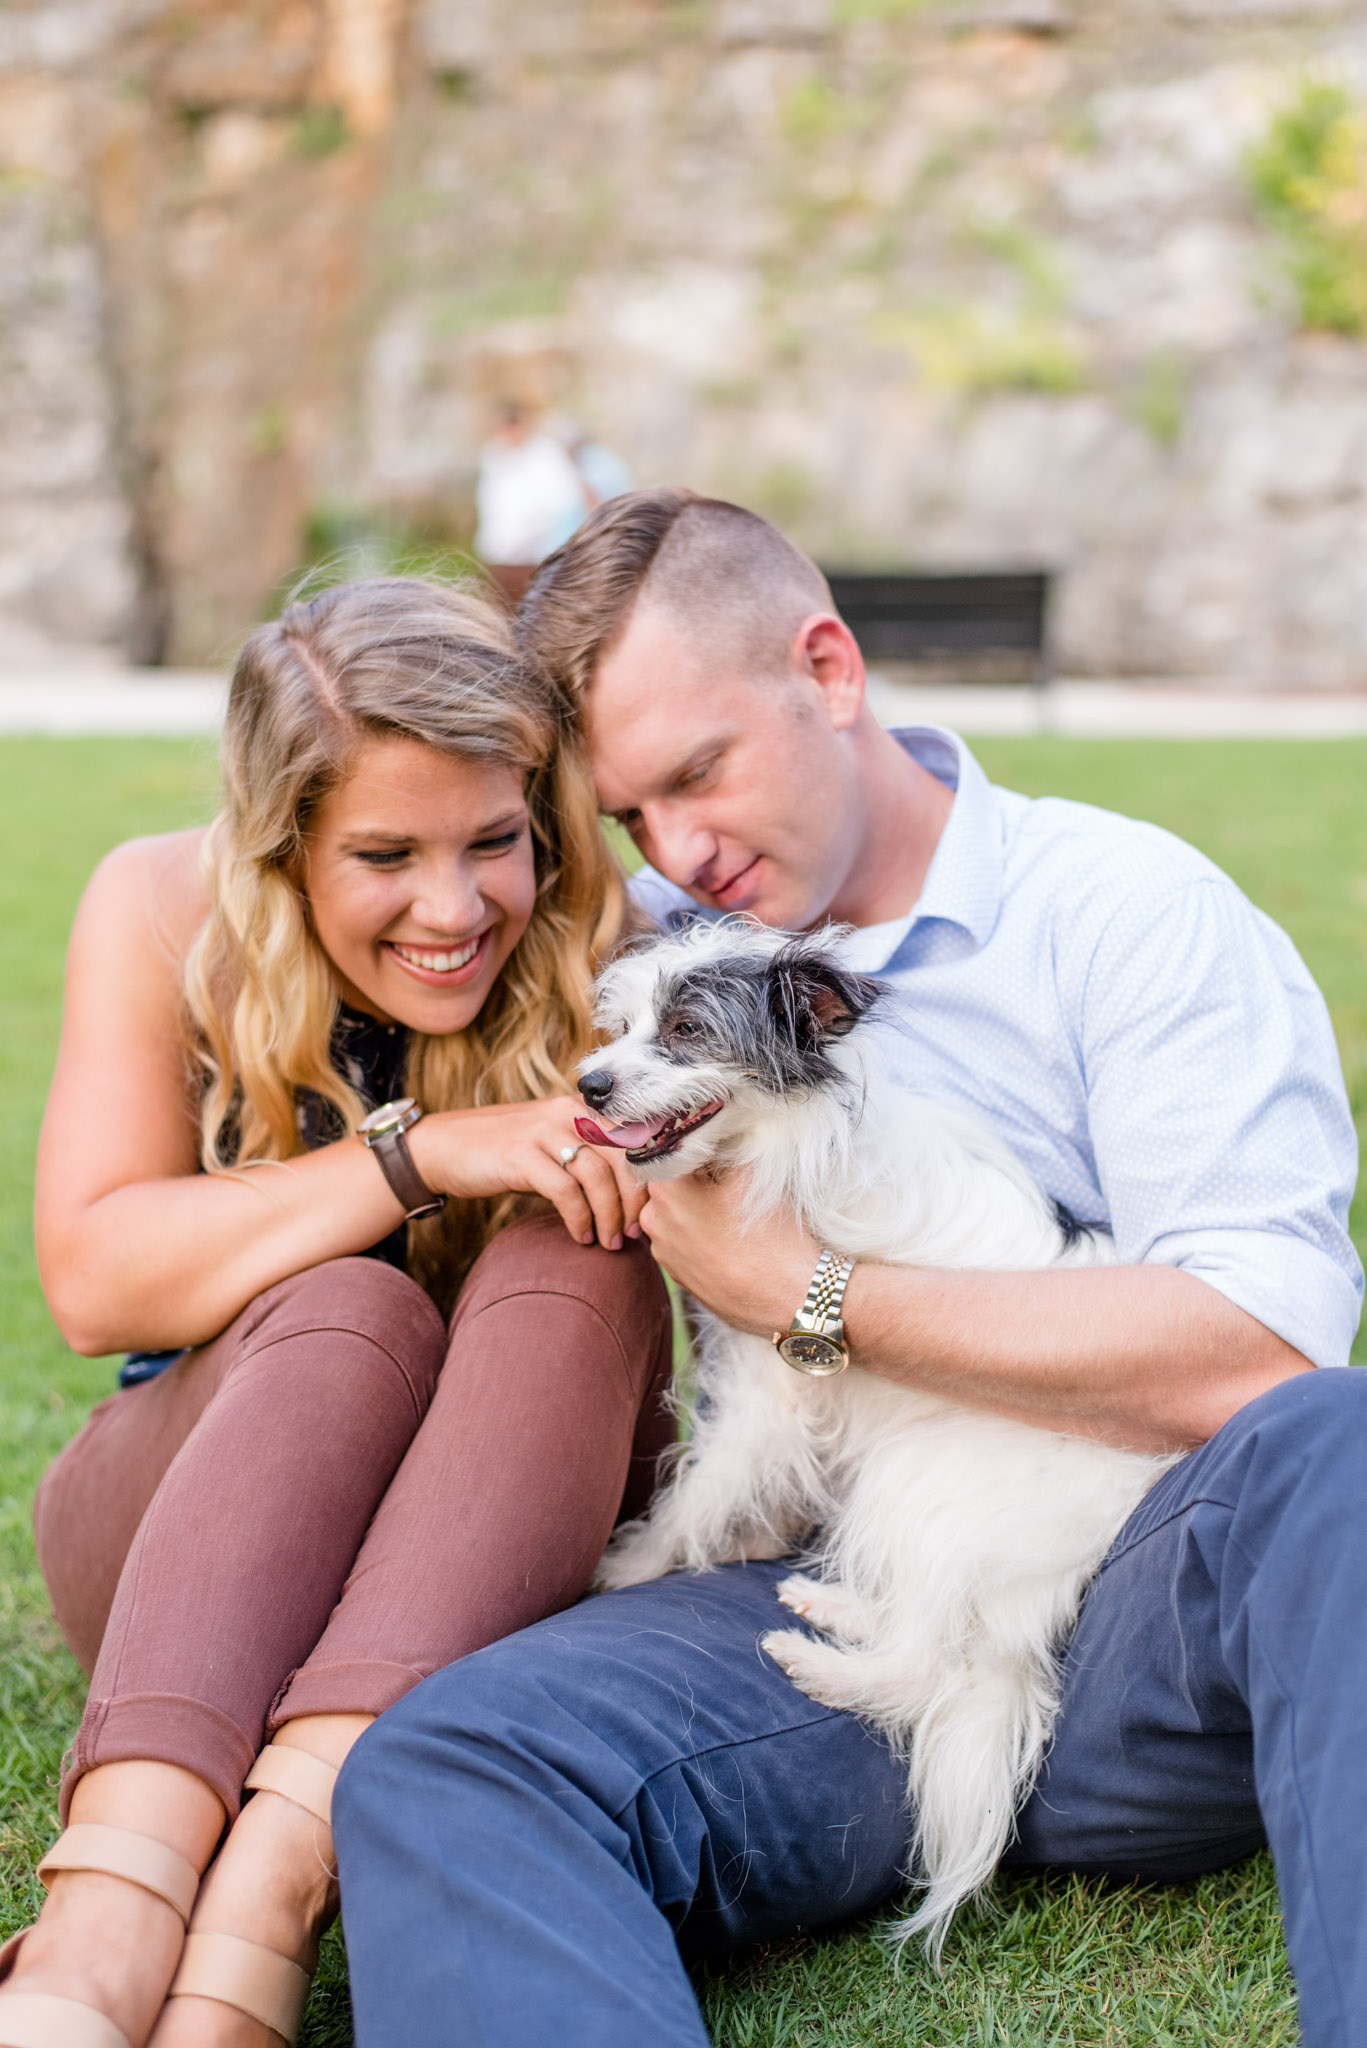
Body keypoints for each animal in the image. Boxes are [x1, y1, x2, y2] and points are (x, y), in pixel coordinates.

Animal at [573, 925, 1180, 1949]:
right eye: (619, 1029)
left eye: (688, 1031)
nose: (587, 1085)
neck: (795, 1139)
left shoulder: (773, 1390)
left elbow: (700, 1489)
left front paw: (631, 1565)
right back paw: (832, 1609)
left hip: (922, 1475)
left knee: (930, 1664)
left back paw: (818, 1665)